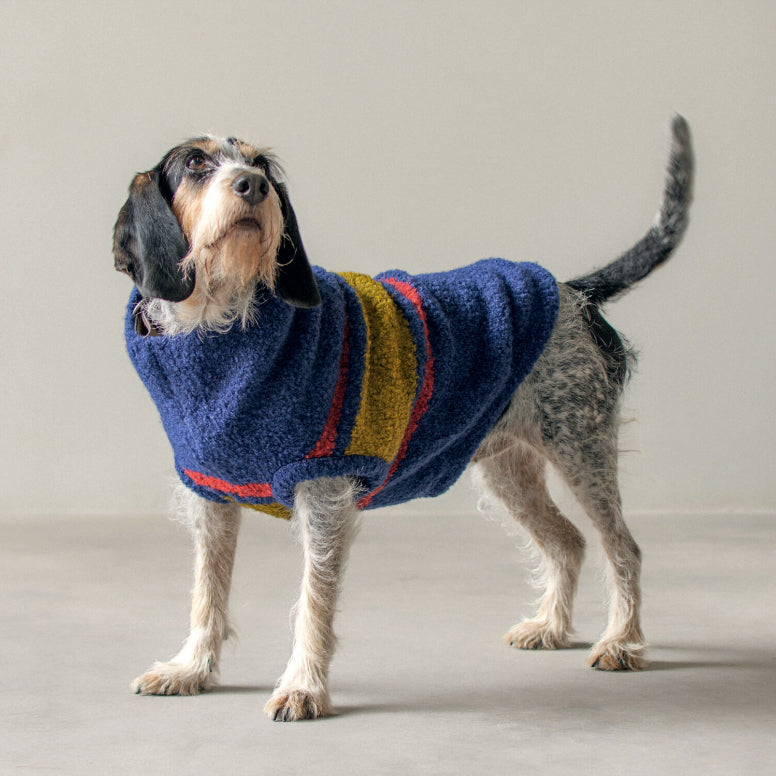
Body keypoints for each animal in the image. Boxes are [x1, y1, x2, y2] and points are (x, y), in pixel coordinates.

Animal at [113, 117, 693, 721]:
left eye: (263, 165)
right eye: (195, 165)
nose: (253, 185)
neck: (225, 327)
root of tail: (574, 291)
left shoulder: (323, 492)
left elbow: (312, 601)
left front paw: (303, 686)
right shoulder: (211, 497)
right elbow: (207, 592)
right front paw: (191, 669)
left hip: (582, 450)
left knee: (622, 548)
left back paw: (623, 641)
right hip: (508, 470)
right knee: (569, 543)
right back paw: (552, 627)